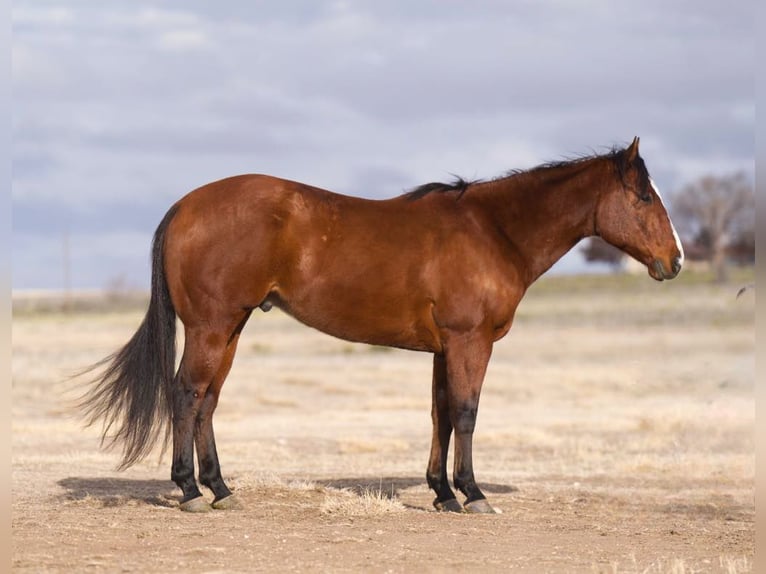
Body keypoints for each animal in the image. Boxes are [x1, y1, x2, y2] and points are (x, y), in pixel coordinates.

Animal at [82, 137, 684, 516]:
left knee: (207, 400)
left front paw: (442, 493)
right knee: (186, 394)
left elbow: (441, 415)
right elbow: (466, 414)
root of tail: (185, 205)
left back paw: (221, 489)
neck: (493, 230)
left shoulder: (445, 348)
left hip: (230, 330)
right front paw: (473, 494)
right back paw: (188, 491)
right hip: (211, 327)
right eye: (643, 196)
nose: (675, 260)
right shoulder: (470, 342)